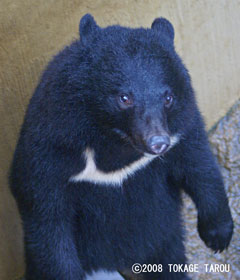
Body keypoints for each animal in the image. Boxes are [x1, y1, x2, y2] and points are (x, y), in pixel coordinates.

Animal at [10, 13, 233, 280]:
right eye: (124, 98)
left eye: (168, 98)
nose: (158, 143)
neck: (115, 139)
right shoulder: (50, 148)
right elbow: (48, 220)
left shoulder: (182, 127)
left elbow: (199, 166)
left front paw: (218, 236)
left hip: (165, 239)